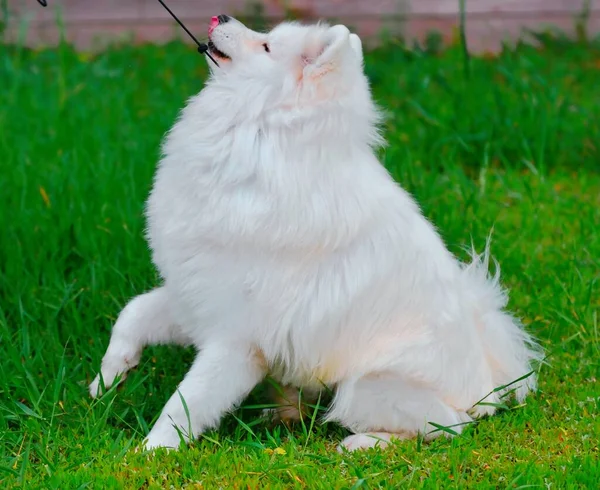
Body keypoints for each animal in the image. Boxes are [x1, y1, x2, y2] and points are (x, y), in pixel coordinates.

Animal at [90, 15, 544, 452]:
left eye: (266, 46)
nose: (220, 15)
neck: (258, 136)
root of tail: (489, 388)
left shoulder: (237, 338)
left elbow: (186, 403)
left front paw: (150, 453)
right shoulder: (197, 296)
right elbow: (133, 313)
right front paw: (109, 376)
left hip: (365, 387)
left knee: (448, 427)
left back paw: (362, 443)